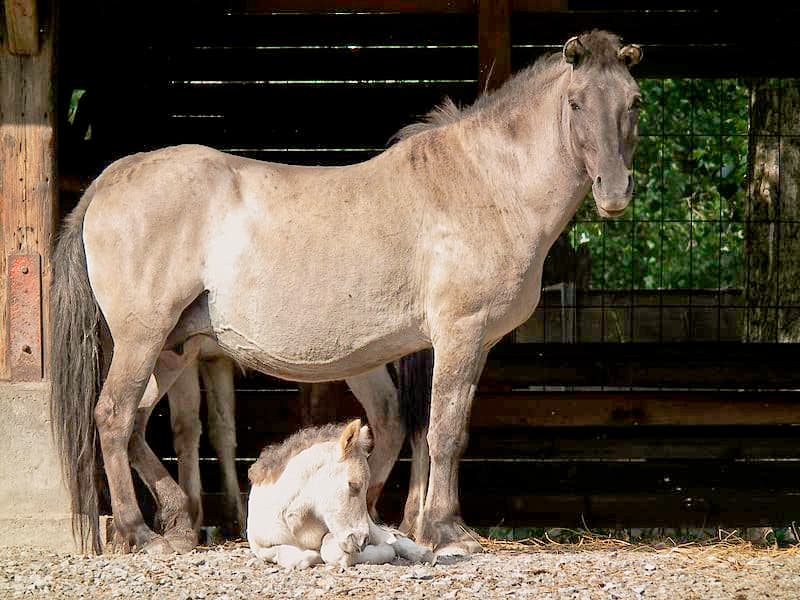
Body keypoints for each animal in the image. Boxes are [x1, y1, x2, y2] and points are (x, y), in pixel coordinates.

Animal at [50, 32, 640, 556]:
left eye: (634, 102)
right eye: (575, 102)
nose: (614, 191)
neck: (483, 181)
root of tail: (110, 179)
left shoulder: (453, 345)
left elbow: (429, 429)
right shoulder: (460, 334)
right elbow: (445, 430)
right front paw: (446, 528)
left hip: (172, 348)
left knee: (137, 423)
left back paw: (177, 522)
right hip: (143, 340)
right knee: (114, 416)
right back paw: (140, 532)